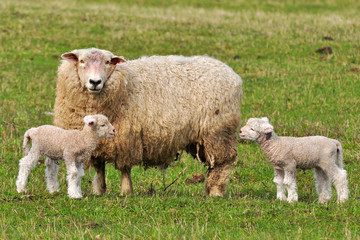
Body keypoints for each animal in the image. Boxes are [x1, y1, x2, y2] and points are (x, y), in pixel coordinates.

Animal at [52, 47, 242, 197]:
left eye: (107, 62)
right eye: (82, 61)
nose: (95, 82)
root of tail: (232, 74)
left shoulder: (126, 137)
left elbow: (125, 168)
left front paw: (126, 191)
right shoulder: (98, 144)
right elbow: (99, 167)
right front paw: (99, 190)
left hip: (218, 131)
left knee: (222, 163)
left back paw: (216, 191)